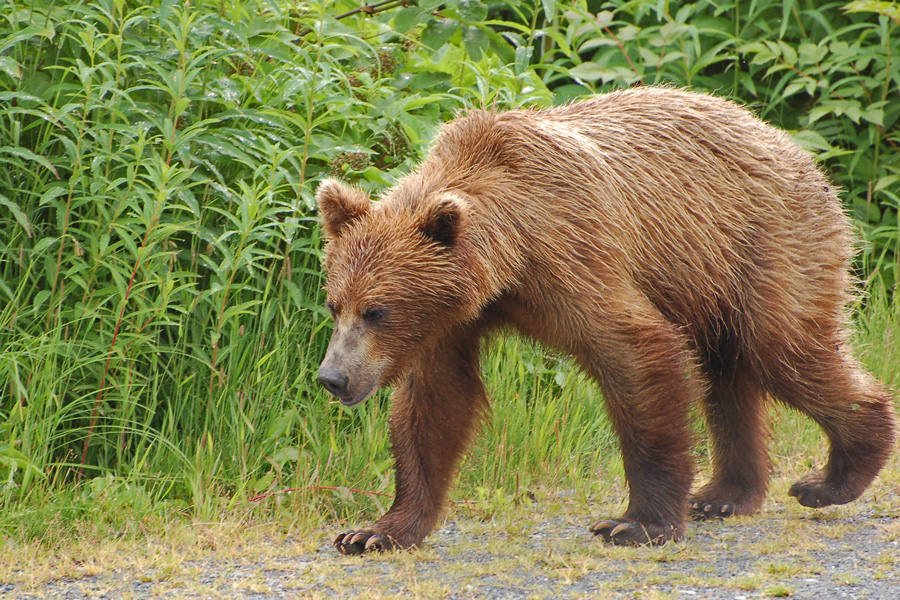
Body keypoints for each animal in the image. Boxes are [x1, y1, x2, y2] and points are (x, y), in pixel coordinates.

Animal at [312, 84, 896, 552]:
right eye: (335, 304)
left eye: (377, 310)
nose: (332, 377)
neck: (507, 259)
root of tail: (795, 148)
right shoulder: (448, 320)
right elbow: (434, 404)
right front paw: (375, 531)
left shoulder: (571, 253)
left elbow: (636, 352)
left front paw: (635, 523)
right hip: (709, 278)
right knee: (729, 375)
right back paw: (724, 495)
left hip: (766, 245)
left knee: (786, 350)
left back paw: (833, 475)